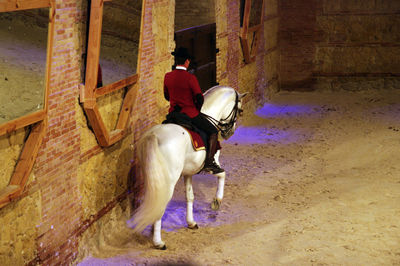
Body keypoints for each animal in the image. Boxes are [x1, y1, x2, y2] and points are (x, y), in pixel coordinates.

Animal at [128, 85, 247, 249]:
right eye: (240, 110)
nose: (230, 133)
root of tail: (155, 135)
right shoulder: (212, 164)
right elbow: (223, 174)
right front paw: (216, 201)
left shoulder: (188, 173)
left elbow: (189, 196)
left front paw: (191, 222)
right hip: (169, 180)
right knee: (161, 202)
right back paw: (158, 242)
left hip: (153, 177)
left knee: (155, 199)